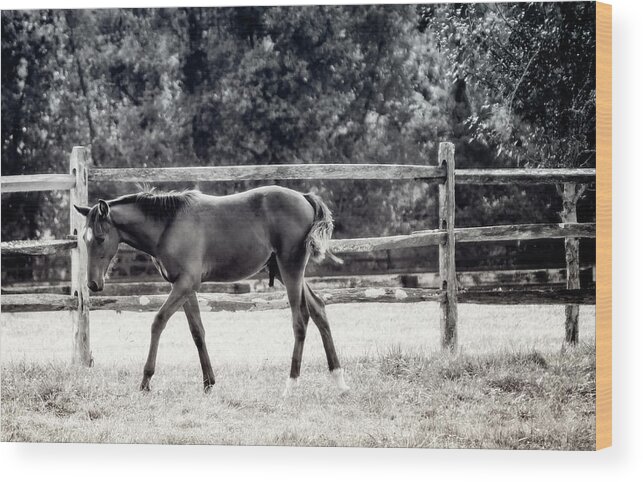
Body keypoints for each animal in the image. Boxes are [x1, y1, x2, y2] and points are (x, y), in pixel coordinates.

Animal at [74, 185, 352, 396]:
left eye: (100, 238)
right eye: (84, 240)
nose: (93, 284)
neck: (167, 224)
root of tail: (304, 197)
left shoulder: (185, 284)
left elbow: (158, 322)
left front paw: (145, 381)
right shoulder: (185, 287)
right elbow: (197, 331)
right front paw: (209, 383)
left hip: (291, 268)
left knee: (300, 320)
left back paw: (291, 385)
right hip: (285, 272)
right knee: (318, 309)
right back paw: (339, 381)